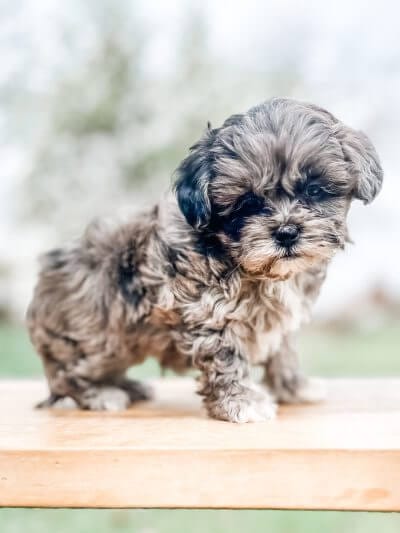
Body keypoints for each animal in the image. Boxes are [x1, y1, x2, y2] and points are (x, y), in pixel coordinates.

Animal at [26, 97, 382, 422]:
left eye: (314, 191)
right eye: (248, 202)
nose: (286, 232)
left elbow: (283, 350)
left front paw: (294, 387)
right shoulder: (209, 310)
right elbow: (226, 358)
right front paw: (242, 402)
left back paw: (128, 386)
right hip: (93, 342)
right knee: (67, 375)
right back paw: (102, 394)